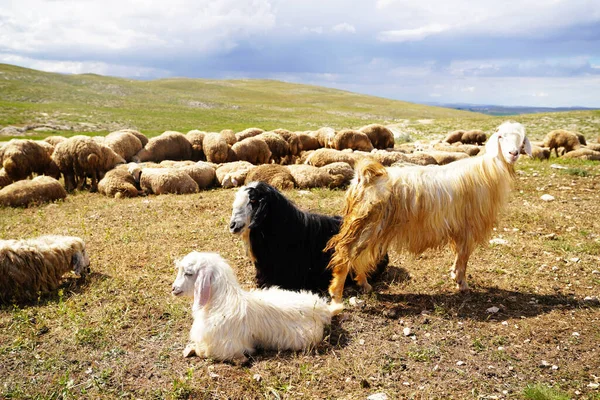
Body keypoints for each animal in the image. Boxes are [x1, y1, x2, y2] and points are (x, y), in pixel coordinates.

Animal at [170, 253, 332, 362]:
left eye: (188, 273)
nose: (173, 288)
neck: (221, 302)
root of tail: (321, 308)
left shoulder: (226, 347)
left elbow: (204, 351)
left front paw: (191, 350)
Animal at [326, 120, 532, 314]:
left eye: (522, 139)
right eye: (501, 136)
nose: (513, 153)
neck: (487, 170)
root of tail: (365, 176)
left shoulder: (459, 228)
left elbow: (459, 255)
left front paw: (454, 275)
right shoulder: (468, 226)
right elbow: (464, 257)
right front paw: (462, 283)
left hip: (370, 227)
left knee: (358, 256)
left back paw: (365, 284)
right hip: (366, 224)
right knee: (345, 254)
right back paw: (336, 297)